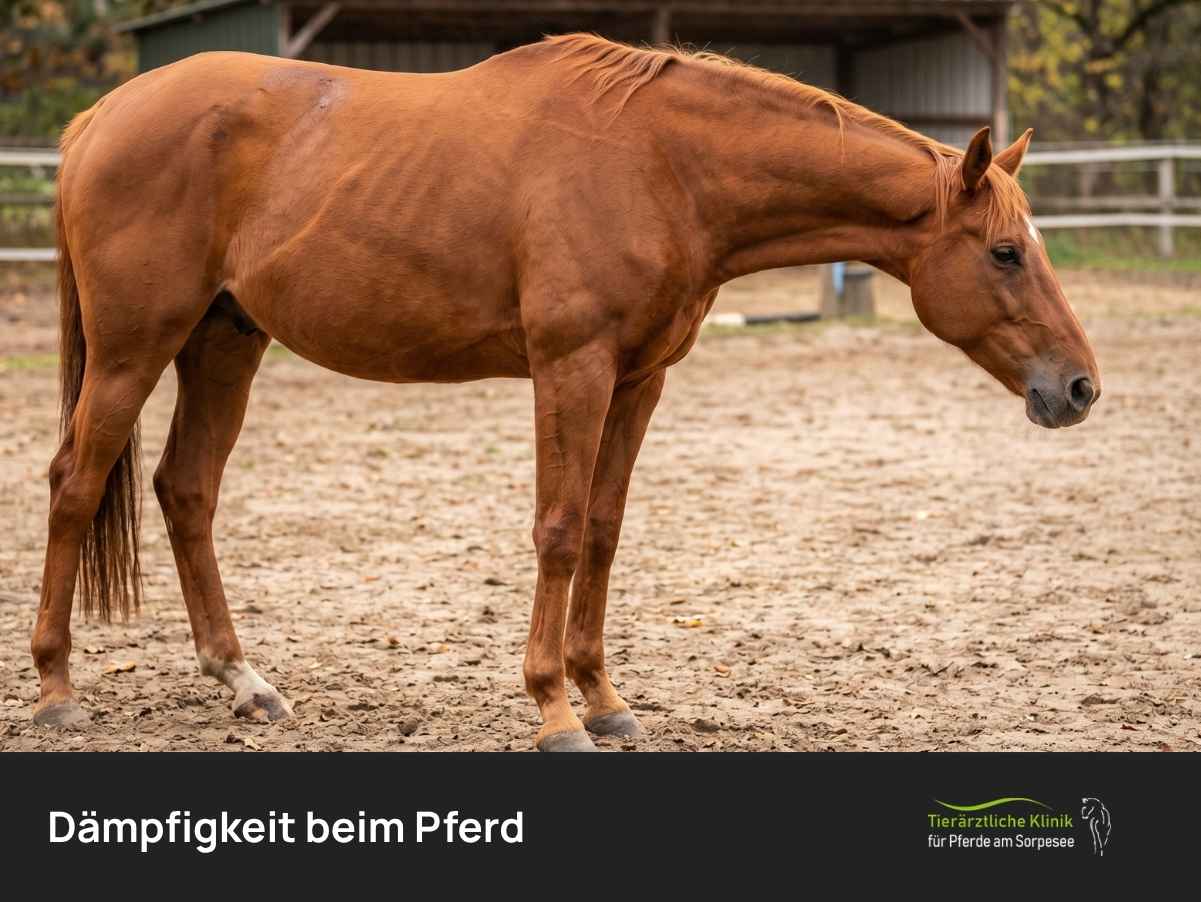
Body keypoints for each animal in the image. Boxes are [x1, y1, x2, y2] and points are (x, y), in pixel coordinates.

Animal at [32, 34, 1100, 751]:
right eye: (1004, 253)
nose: (1079, 387)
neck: (662, 166)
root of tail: (99, 120)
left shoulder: (638, 381)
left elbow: (602, 529)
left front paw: (605, 700)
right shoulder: (570, 368)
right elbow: (555, 529)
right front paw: (553, 709)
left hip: (224, 342)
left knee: (186, 492)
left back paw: (244, 683)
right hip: (133, 350)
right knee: (74, 486)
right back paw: (56, 688)